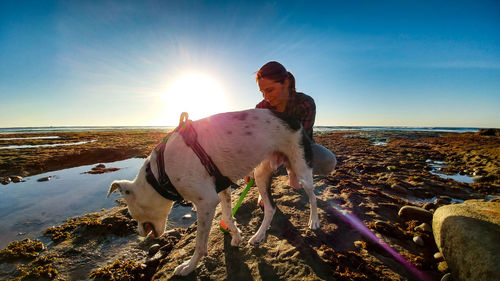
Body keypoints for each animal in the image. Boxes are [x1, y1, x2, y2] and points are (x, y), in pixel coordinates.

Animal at [107, 108, 318, 274]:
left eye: (133, 214)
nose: (140, 233)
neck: (158, 175)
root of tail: (293, 119)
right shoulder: (222, 189)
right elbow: (227, 215)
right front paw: (236, 236)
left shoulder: (206, 202)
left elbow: (200, 244)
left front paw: (189, 266)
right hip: (260, 174)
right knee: (271, 207)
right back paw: (258, 236)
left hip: (301, 168)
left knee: (312, 195)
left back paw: (314, 221)